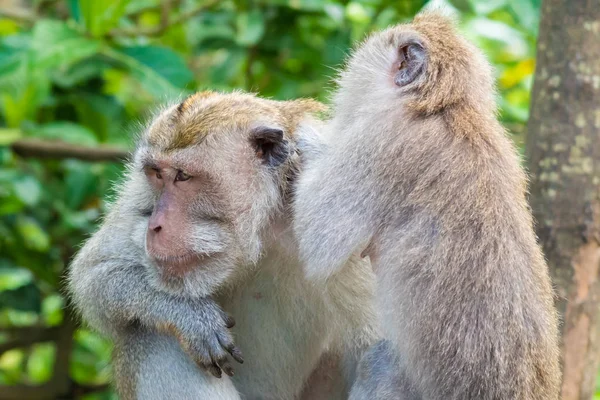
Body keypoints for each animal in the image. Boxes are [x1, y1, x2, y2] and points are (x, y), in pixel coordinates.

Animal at [68, 91, 378, 400]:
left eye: (183, 176)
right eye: (156, 173)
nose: (154, 225)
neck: (266, 224)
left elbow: (379, 353)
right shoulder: (139, 195)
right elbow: (94, 274)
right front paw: (189, 316)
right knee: (152, 336)